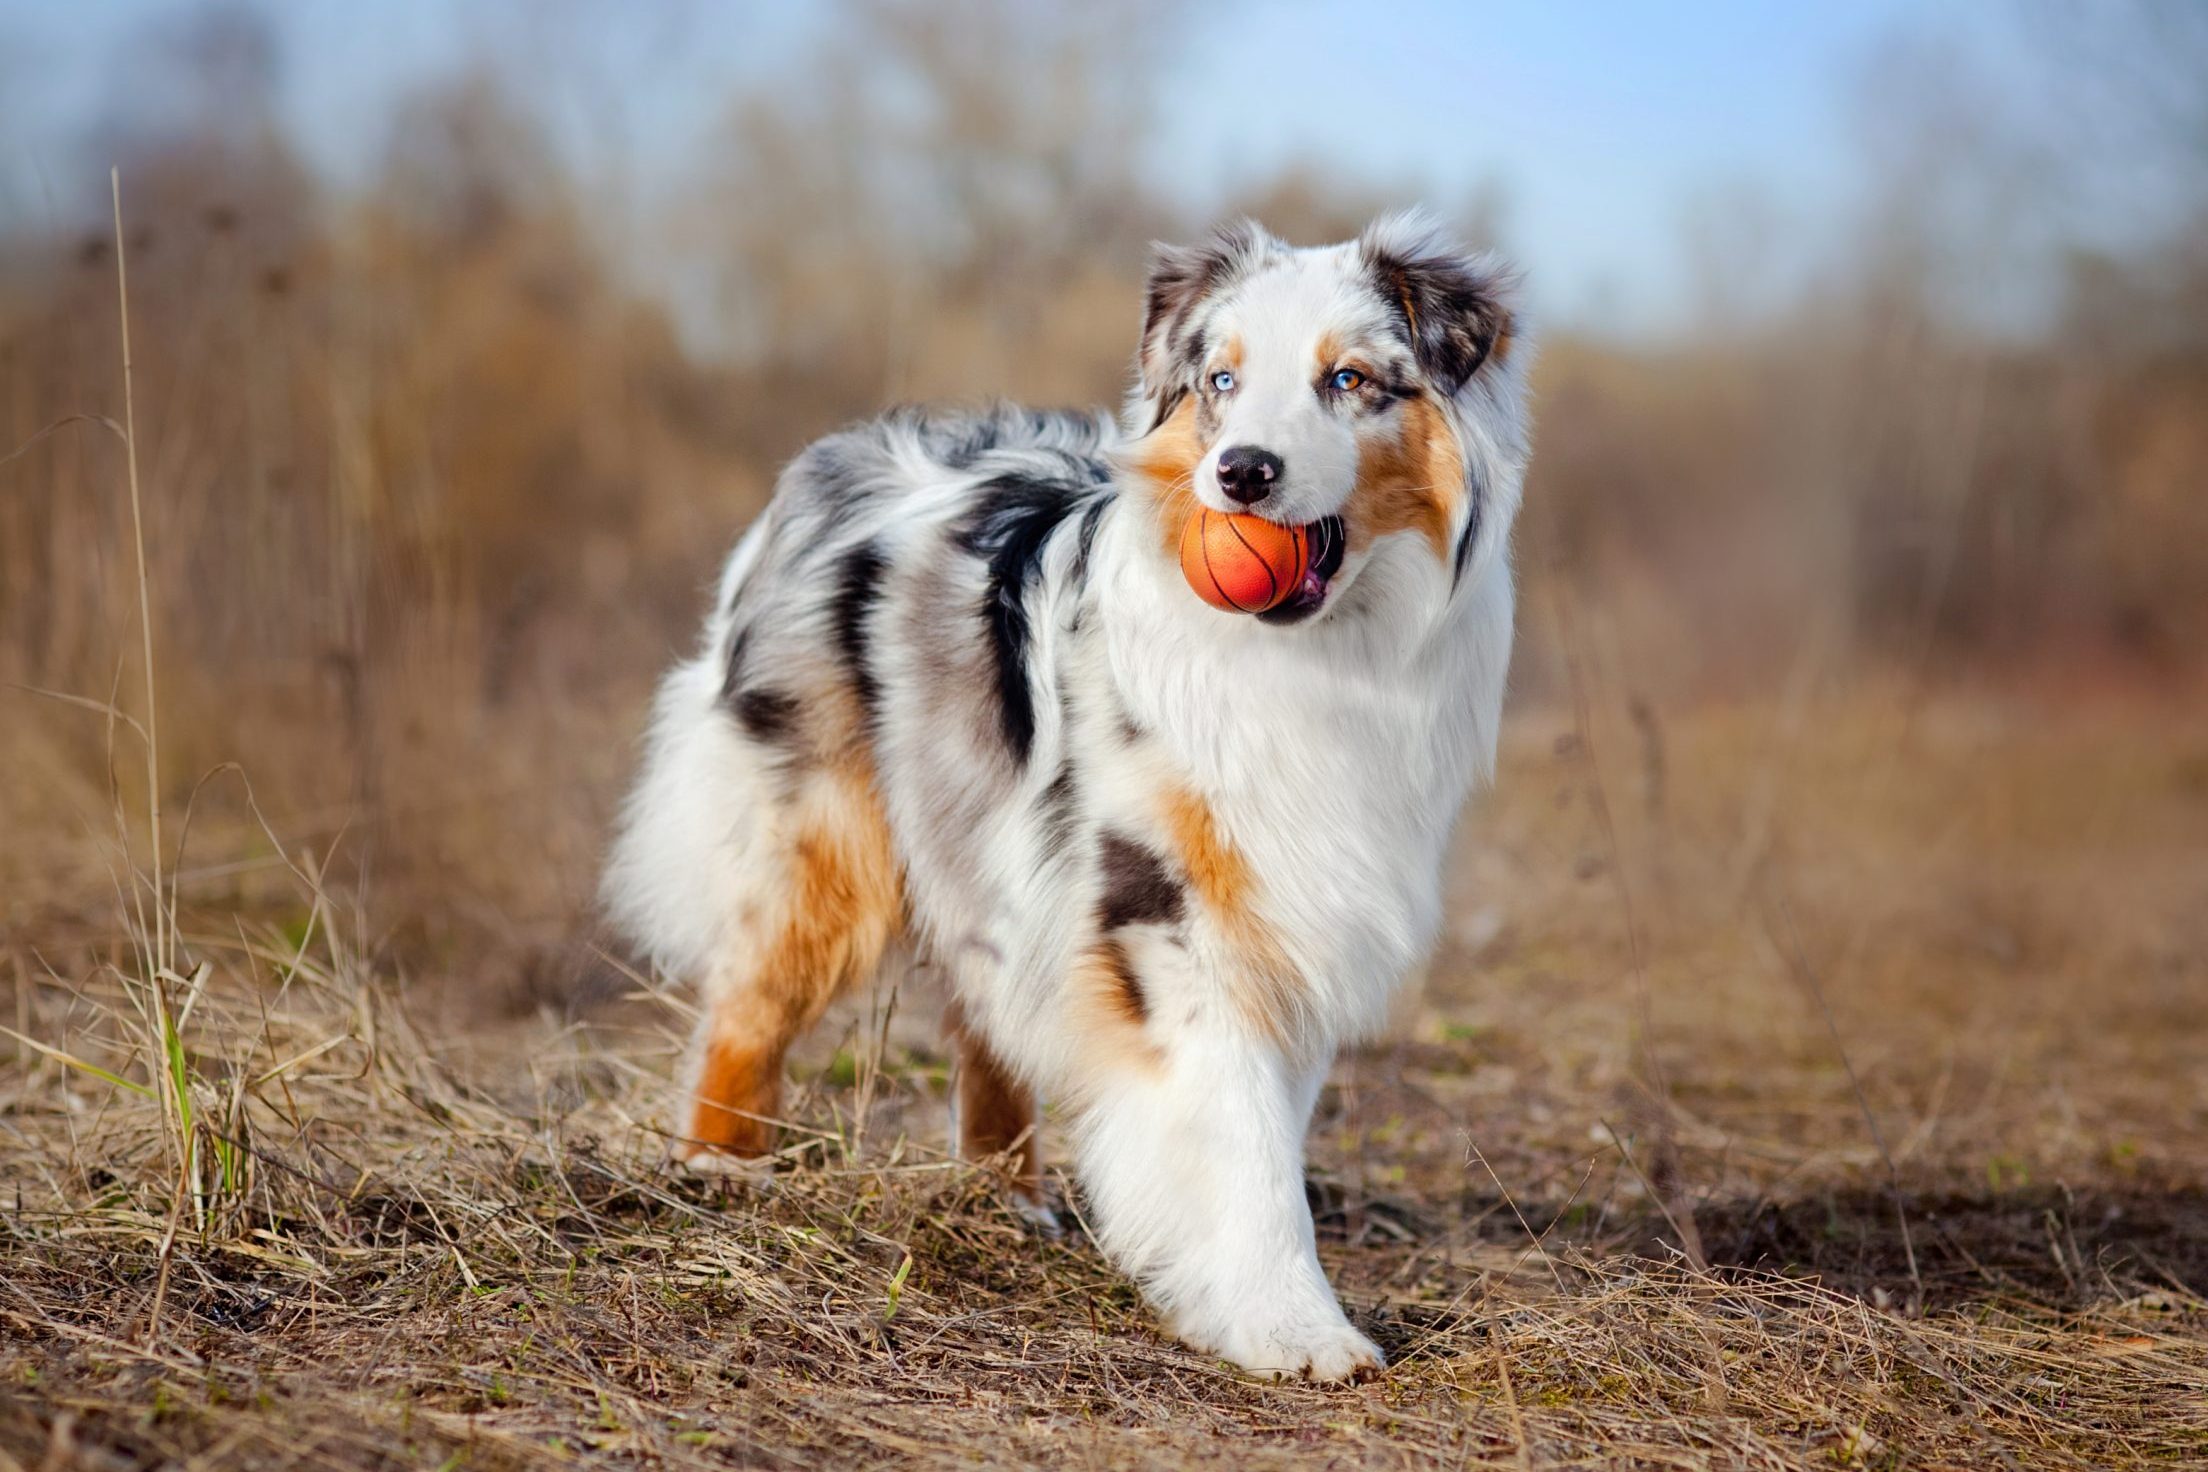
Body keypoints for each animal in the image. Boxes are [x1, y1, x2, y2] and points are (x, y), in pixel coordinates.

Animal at [604, 209, 1536, 1385]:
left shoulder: (1294, 905)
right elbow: (1240, 1133)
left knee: (982, 1011)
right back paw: (718, 1168)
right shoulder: (1165, 909)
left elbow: (1264, 1120)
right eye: (1222, 380)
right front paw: (1294, 1327)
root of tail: (834, 457)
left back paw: (1005, 1199)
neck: (1315, 656)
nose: (1241, 473)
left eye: (1351, 379)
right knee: (751, 1001)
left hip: (984, 844)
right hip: (827, 838)